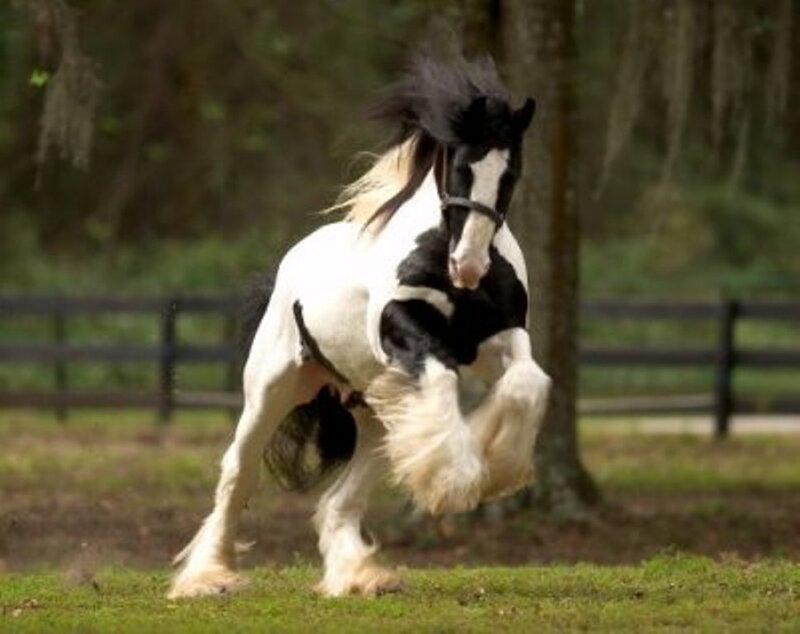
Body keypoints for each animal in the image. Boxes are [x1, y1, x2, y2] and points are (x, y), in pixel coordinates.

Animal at [169, 56, 551, 599]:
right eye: (462, 167)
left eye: (511, 173)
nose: (470, 266)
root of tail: (291, 264)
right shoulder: (404, 331)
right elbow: (442, 379)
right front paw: (456, 479)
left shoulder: (503, 335)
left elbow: (528, 383)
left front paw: (496, 469)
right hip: (273, 389)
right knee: (236, 474)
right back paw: (206, 578)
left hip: (376, 408)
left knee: (338, 502)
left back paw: (361, 577)